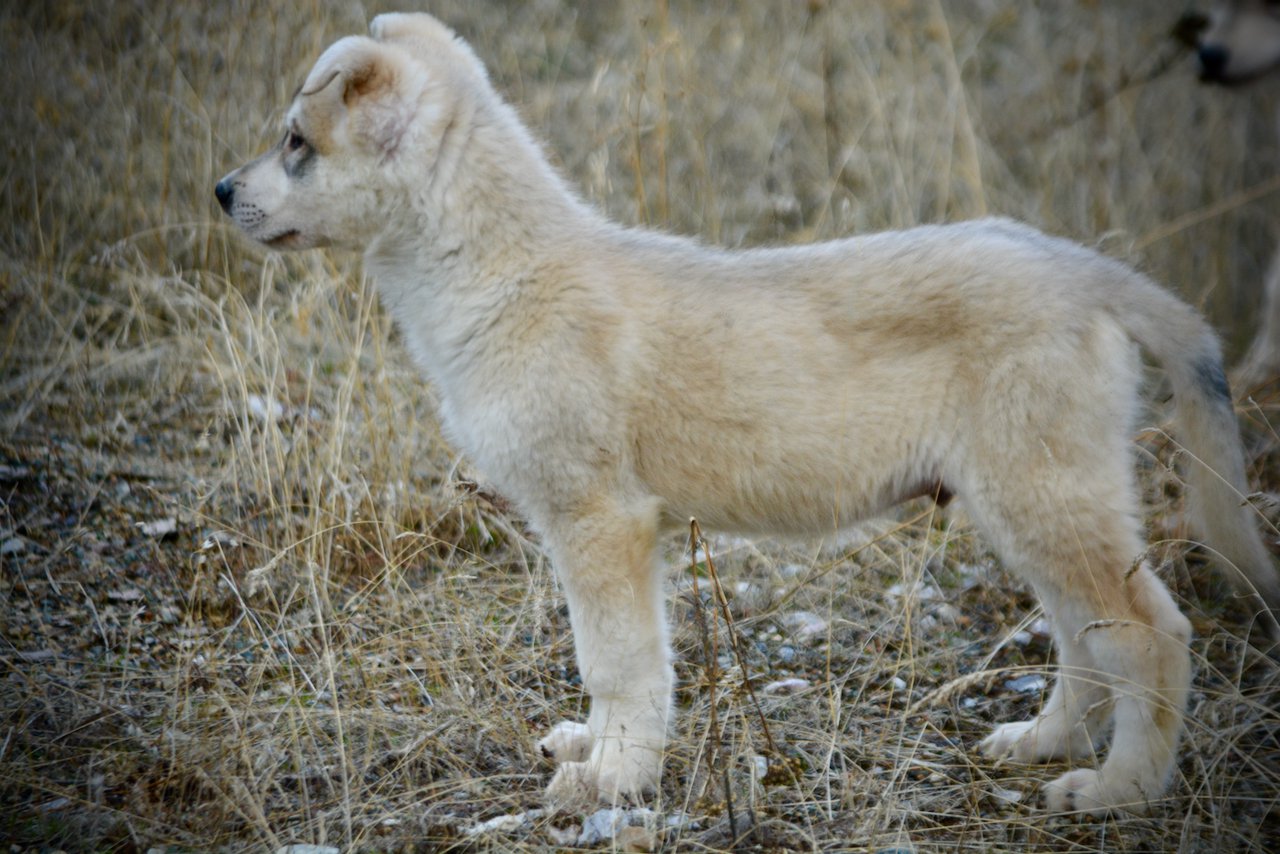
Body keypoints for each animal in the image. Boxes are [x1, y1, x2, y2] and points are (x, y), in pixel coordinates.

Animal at [217, 11, 1280, 814]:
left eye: (296, 143)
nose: (221, 189)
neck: (499, 271)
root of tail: (1084, 270)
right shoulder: (623, 536)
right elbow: (623, 660)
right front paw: (596, 751)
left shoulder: (598, 520)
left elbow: (619, 661)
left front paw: (612, 779)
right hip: (1031, 504)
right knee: (1082, 636)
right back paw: (1041, 742)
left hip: (1048, 499)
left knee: (1148, 633)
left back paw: (1121, 790)